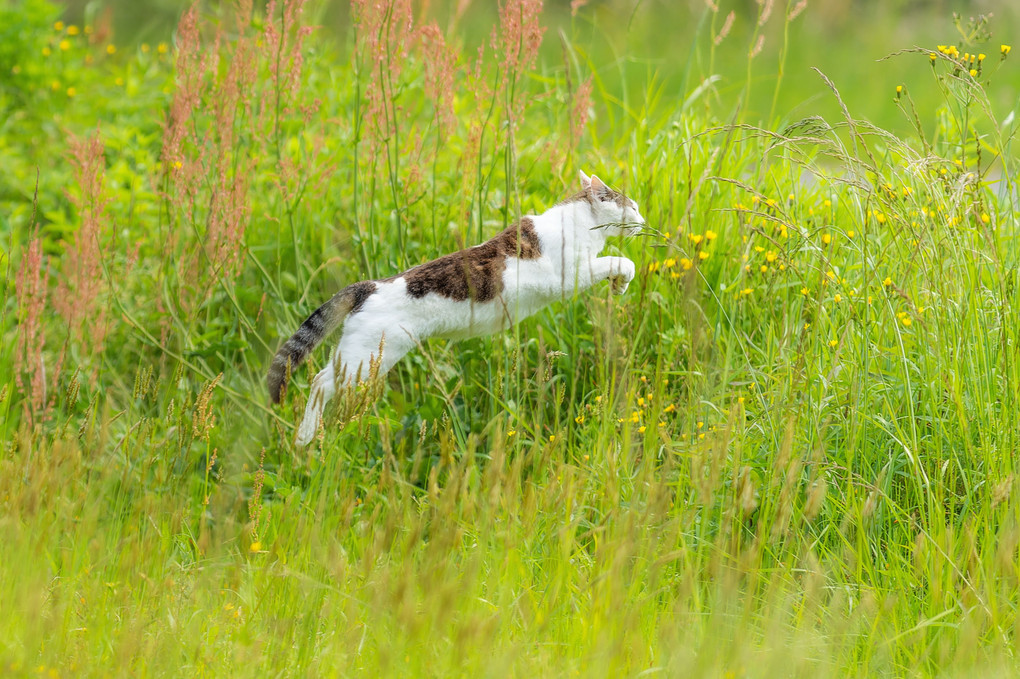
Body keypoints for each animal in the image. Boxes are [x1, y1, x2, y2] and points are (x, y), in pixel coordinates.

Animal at [265, 170, 644, 444]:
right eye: (634, 206)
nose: (642, 218)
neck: (581, 222)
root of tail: (369, 285)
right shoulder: (573, 273)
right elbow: (622, 261)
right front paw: (623, 280)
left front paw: (618, 286)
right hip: (366, 358)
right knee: (319, 382)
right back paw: (306, 436)